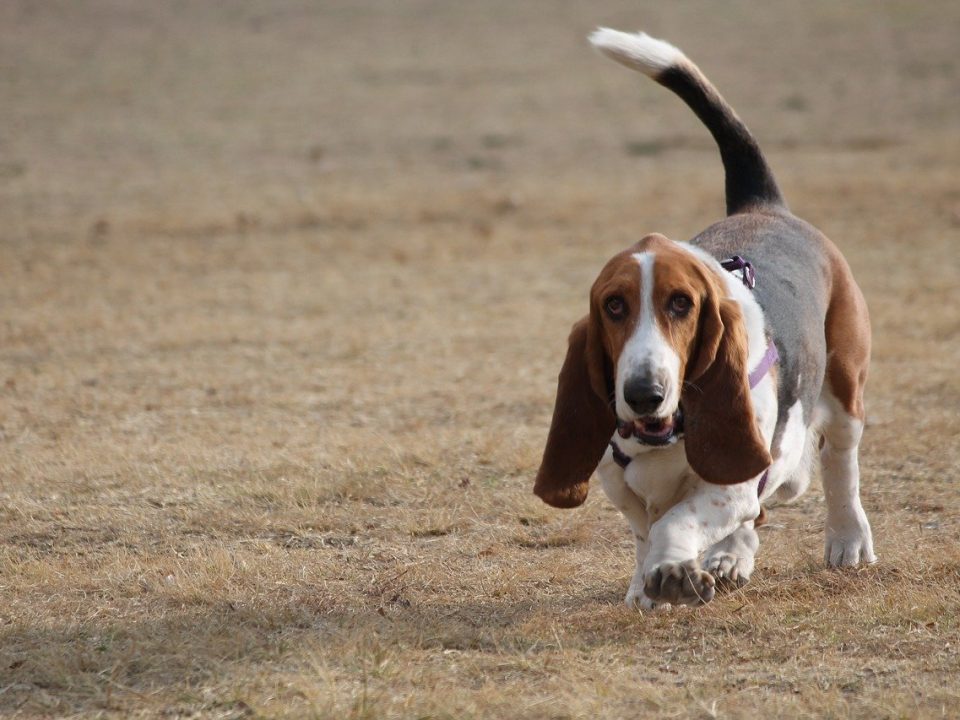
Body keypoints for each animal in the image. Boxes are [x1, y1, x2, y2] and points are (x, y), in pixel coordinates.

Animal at [532, 31, 876, 612]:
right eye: (614, 306)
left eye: (681, 304)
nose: (643, 393)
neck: (665, 434)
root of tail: (764, 204)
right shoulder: (622, 485)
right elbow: (647, 528)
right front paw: (647, 585)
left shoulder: (729, 483)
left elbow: (679, 520)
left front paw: (671, 570)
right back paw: (732, 556)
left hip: (844, 384)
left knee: (838, 462)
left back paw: (847, 540)